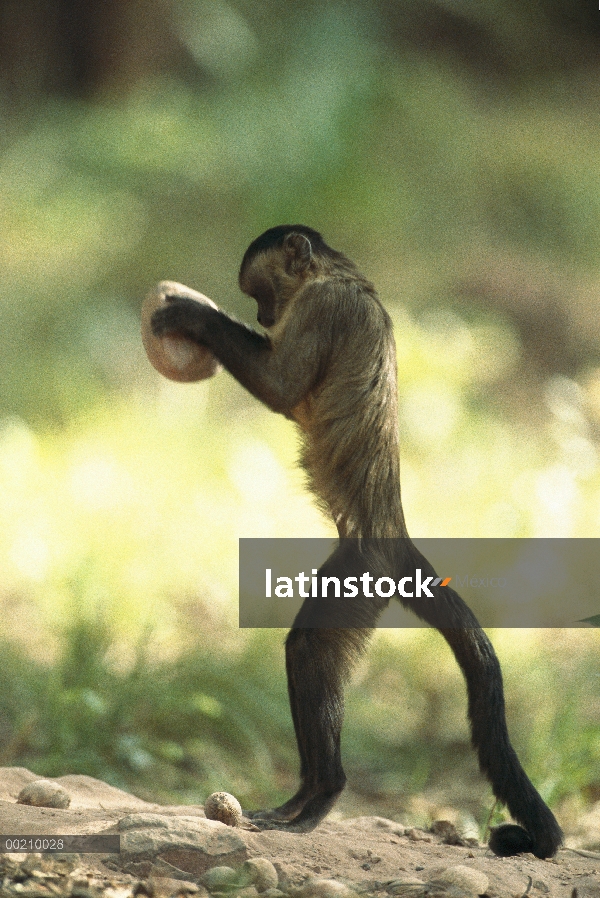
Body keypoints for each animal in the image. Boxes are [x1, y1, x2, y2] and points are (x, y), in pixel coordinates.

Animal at [150, 222, 564, 856]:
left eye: (261, 294)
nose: (264, 316)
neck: (337, 274)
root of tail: (391, 530)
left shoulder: (325, 308)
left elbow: (281, 387)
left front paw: (193, 316)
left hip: (362, 571)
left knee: (313, 647)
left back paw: (325, 792)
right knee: (307, 650)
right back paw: (303, 796)